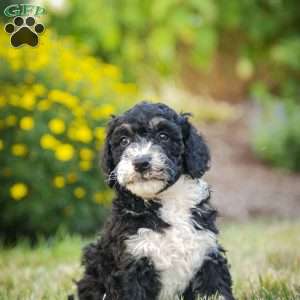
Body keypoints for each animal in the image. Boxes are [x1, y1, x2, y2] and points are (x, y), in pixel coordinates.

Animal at [77, 102, 234, 298]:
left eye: (163, 136)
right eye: (124, 141)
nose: (141, 162)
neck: (166, 200)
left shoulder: (207, 253)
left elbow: (216, 291)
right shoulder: (132, 262)